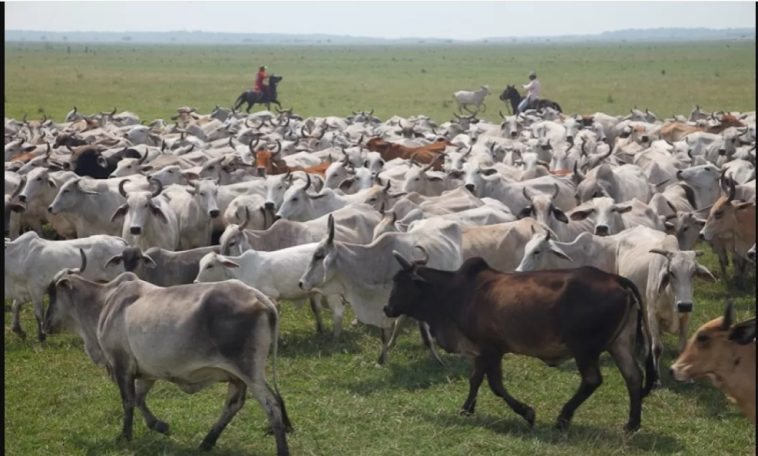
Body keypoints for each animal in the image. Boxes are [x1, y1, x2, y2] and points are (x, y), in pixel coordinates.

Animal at [43, 262, 290, 454]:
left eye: (51, 293)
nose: (44, 325)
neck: (105, 303)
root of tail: (258, 296)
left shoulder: (121, 364)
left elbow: (128, 401)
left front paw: (125, 436)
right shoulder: (146, 371)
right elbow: (139, 399)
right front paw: (160, 425)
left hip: (249, 371)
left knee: (273, 406)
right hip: (237, 376)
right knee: (234, 404)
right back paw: (206, 442)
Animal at [382, 255, 656, 432]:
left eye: (401, 283)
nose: (387, 308)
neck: (456, 293)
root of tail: (617, 280)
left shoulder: (491, 348)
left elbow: (495, 385)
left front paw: (527, 413)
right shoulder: (480, 350)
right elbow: (475, 380)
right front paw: (466, 409)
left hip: (584, 348)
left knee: (592, 380)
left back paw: (563, 418)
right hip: (619, 343)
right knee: (633, 376)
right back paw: (632, 424)